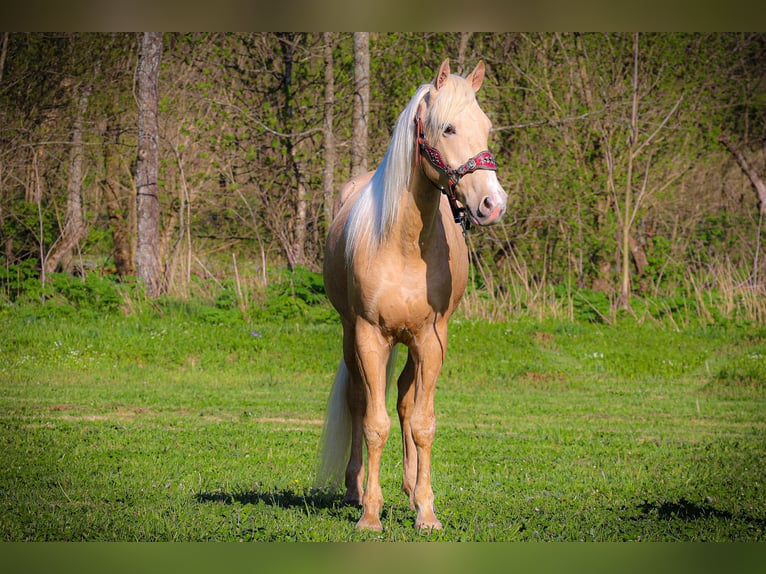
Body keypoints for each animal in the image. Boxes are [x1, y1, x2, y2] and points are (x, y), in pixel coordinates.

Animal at [318, 57, 510, 532]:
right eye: (448, 128)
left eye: (486, 125)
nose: (493, 204)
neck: (403, 243)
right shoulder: (370, 337)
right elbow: (374, 422)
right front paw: (370, 514)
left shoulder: (430, 340)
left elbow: (422, 422)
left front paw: (426, 510)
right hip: (352, 336)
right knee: (358, 402)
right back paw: (355, 490)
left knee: (405, 401)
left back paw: (408, 490)